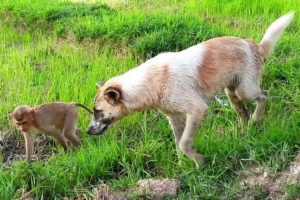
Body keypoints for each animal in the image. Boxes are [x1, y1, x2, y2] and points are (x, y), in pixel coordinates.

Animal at [86, 12, 292, 167]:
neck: (154, 81)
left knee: (264, 96)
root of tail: (252, 44)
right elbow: (178, 145)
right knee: (243, 113)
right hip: (232, 94)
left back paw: (257, 119)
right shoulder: (175, 118)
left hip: (245, 90)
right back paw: (245, 131)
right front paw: (183, 166)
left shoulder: (197, 110)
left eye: (98, 111)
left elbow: (185, 143)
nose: (87, 131)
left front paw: (199, 163)